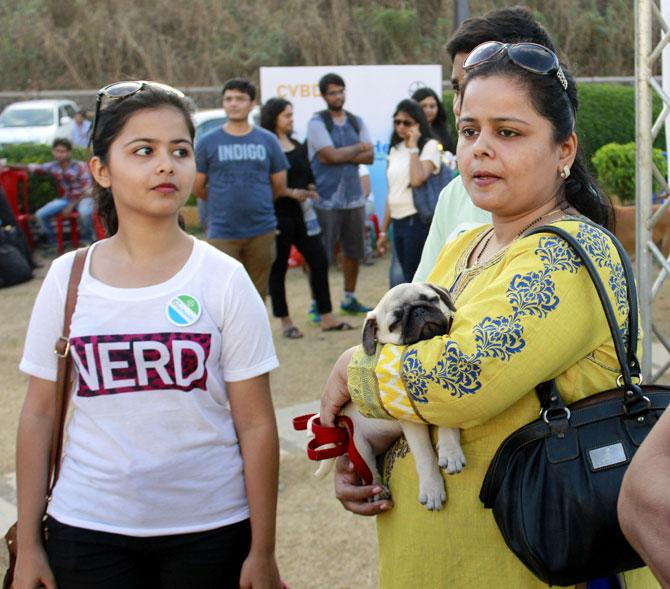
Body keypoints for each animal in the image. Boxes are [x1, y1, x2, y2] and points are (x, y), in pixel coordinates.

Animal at [316, 282, 468, 508]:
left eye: (432, 299)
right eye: (395, 323)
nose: (419, 310)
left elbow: (448, 425)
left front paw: (450, 451)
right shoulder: (411, 425)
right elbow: (425, 456)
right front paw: (432, 488)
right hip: (360, 446)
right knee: (370, 472)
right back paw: (378, 492)